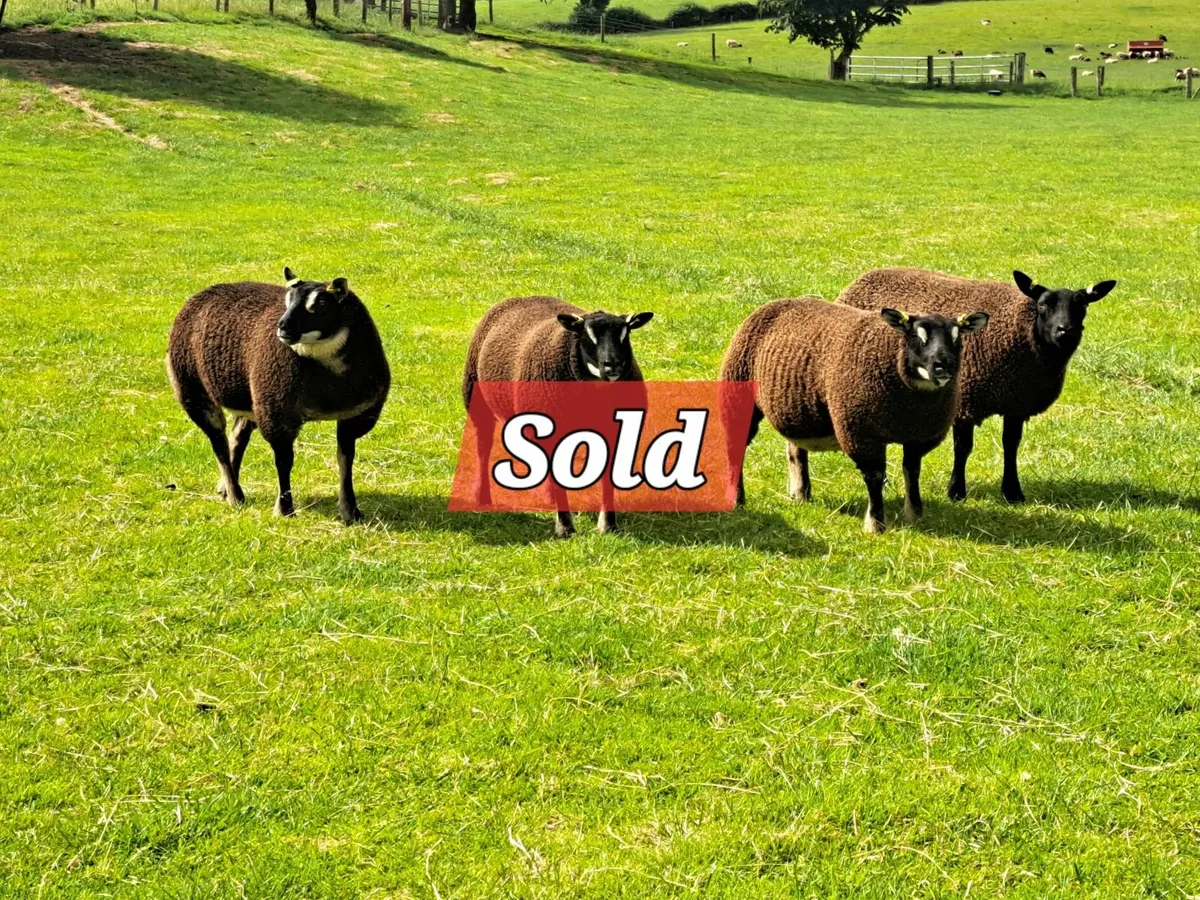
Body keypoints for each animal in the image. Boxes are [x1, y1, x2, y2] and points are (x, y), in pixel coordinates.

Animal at [167, 268, 390, 523]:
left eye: (322, 303)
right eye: (287, 300)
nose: (283, 327)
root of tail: (204, 293)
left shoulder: (357, 415)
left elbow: (346, 459)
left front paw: (350, 511)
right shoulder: (277, 416)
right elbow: (284, 462)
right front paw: (285, 509)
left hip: (252, 400)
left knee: (237, 436)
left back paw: (225, 488)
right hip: (193, 390)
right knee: (218, 443)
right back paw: (235, 496)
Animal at [462, 297, 653, 538]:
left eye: (625, 333)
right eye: (585, 335)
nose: (613, 365)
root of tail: (522, 297)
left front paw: (607, 525)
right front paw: (565, 527)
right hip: (476, 397)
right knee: (483, 447)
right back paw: (482, 496)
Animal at [719, 298, 988, 534]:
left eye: (958, 338)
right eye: (915, 336)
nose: (943, 366)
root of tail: (777, 302)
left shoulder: (918, 437)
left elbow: (912, 472)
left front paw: (915, 515)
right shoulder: (861, 433)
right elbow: (875, 478)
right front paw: (876, 524)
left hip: (798, 410)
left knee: (795, 451)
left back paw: (801, 494)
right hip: (738, 393)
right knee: (736, 451)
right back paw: (738, 501)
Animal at [838, 268, 1116, 505]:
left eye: (1082, 306)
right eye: (1042, 305)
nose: (1065, 331)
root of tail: (864, 277)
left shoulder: (1016, 404)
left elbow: (1011, 444)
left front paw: (1013, 492)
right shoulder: (966, 400)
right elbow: (963, 448)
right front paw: (956, 491)